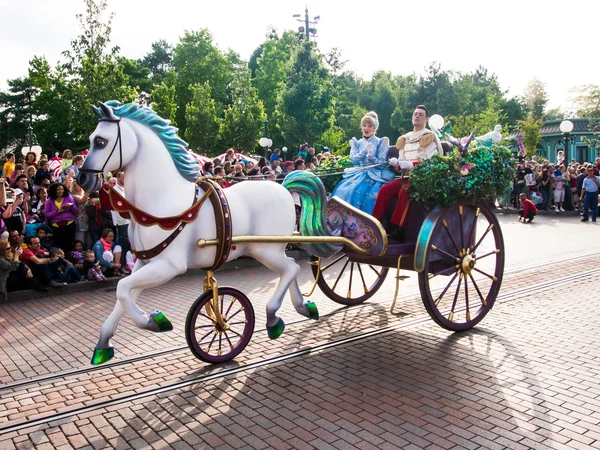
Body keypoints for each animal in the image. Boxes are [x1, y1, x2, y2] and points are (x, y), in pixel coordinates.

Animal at [77, 100, 338, 364]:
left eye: (100, 141)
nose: (82, 179)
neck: (161, 203)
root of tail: (283, 188)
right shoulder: (144, 262)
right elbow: (125, 292)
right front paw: (103, 345)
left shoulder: (169, 265)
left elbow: (122, 289)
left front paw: (153, 321)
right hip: (269, 250)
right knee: (290, 269)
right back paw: (301, 308)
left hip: (266, 249)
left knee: (290, 269)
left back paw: (274, 317)